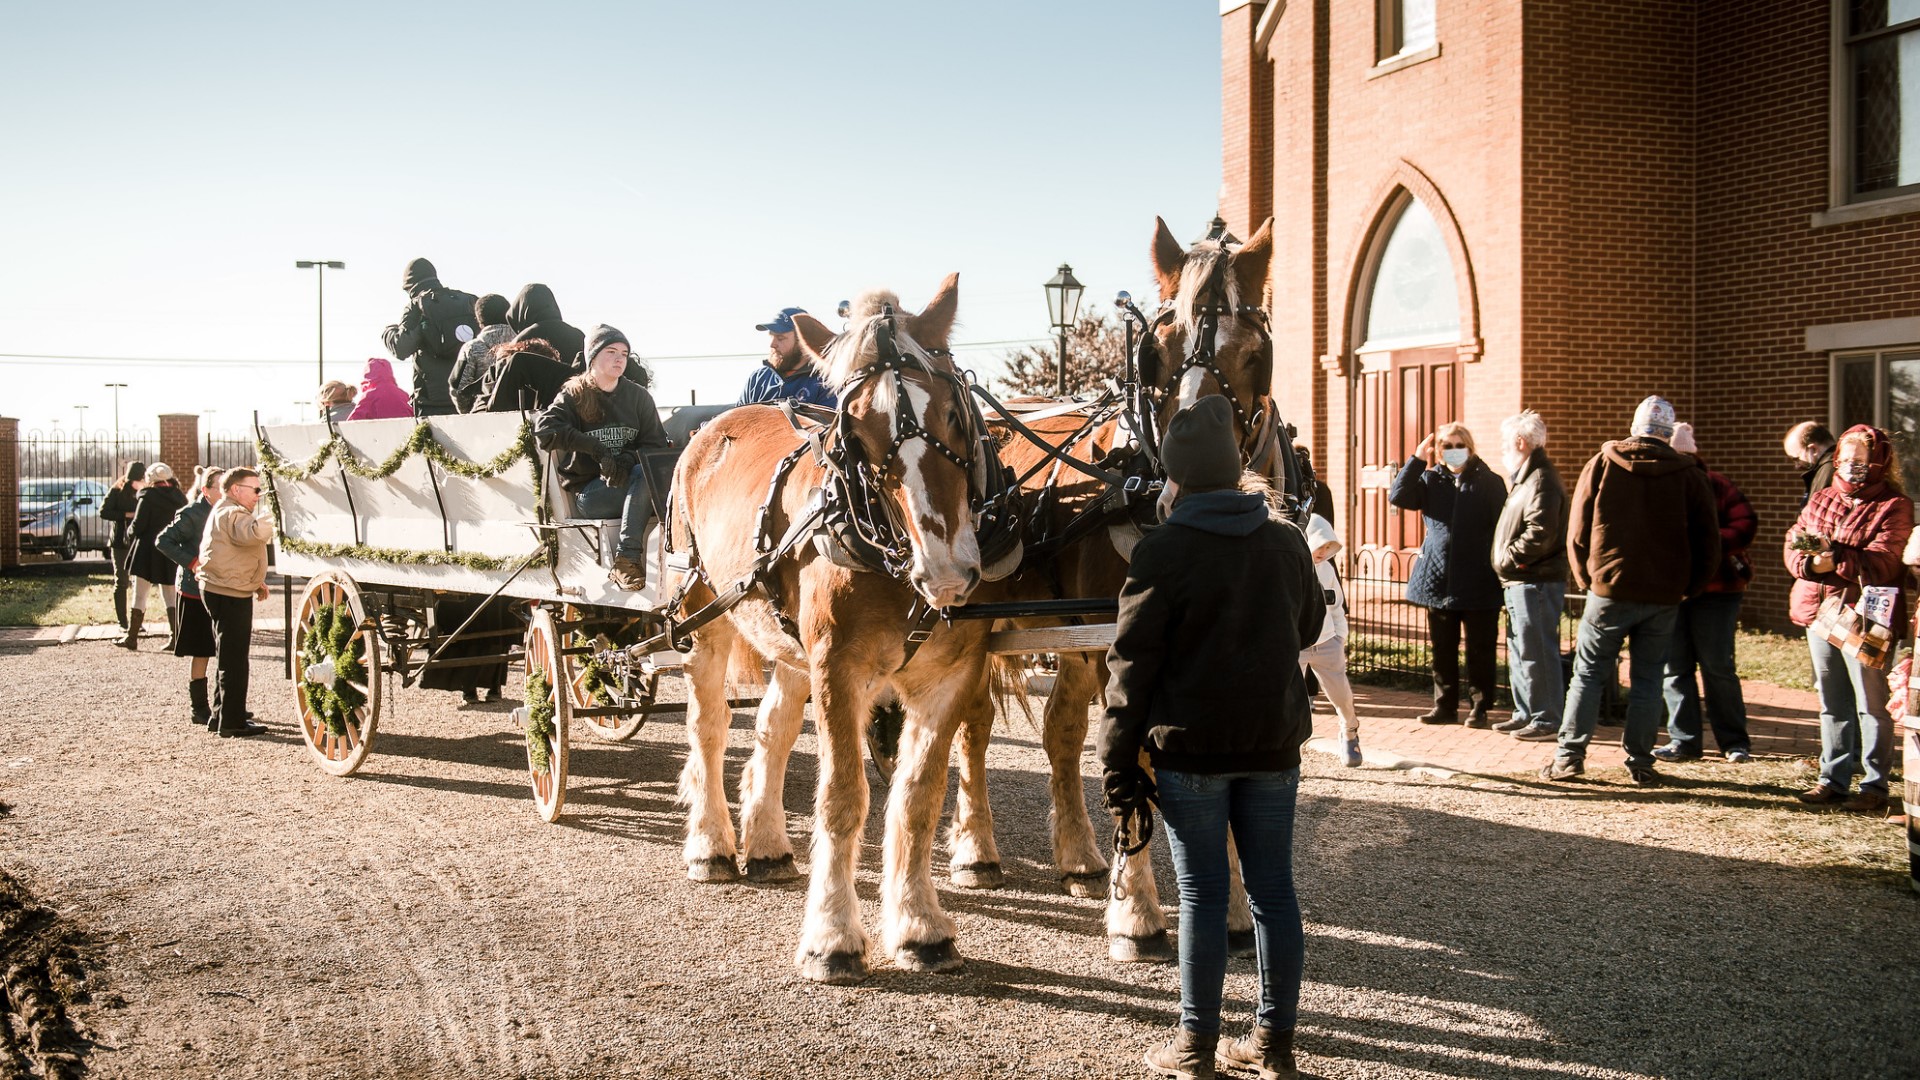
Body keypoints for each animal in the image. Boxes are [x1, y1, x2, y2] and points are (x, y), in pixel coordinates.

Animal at [668, 272, 1013, 980]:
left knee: (772, 729)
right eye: (854, 430)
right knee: (708, 728)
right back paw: (711, 842)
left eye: (954, 412)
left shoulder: (952, 675)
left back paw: (766, 842)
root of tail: (714, 424)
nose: (946, 569)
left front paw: (918, 925)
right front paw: (831, 934)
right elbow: (843, 797)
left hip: (787, 644)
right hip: (703, 615)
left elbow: (916, 797)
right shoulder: (838, 668)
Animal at [952, 212, 1282, 957]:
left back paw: (1078, 857)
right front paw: (1136, 912)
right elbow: (1143, 762)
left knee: (1061, 731)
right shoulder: (1128, 651)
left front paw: (1233, 911)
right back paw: (977, 852)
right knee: (974, 725)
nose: (1193, 480)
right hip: (985, 626)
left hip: (1073, 636)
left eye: (1255, 354)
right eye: (1154, 354)